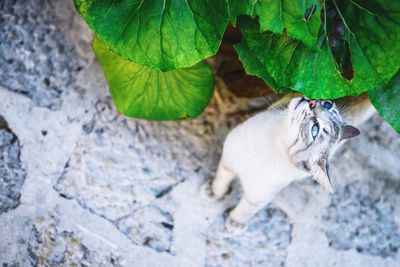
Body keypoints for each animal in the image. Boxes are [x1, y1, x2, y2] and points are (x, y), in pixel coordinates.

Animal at [200, 94, 376, 234]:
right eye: (327, 104)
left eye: (315, 129)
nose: (313, 102)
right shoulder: (229, 161)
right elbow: (220, 181)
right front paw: (213, 193)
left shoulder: (257, 197)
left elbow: (244, 211)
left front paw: (234, 223)